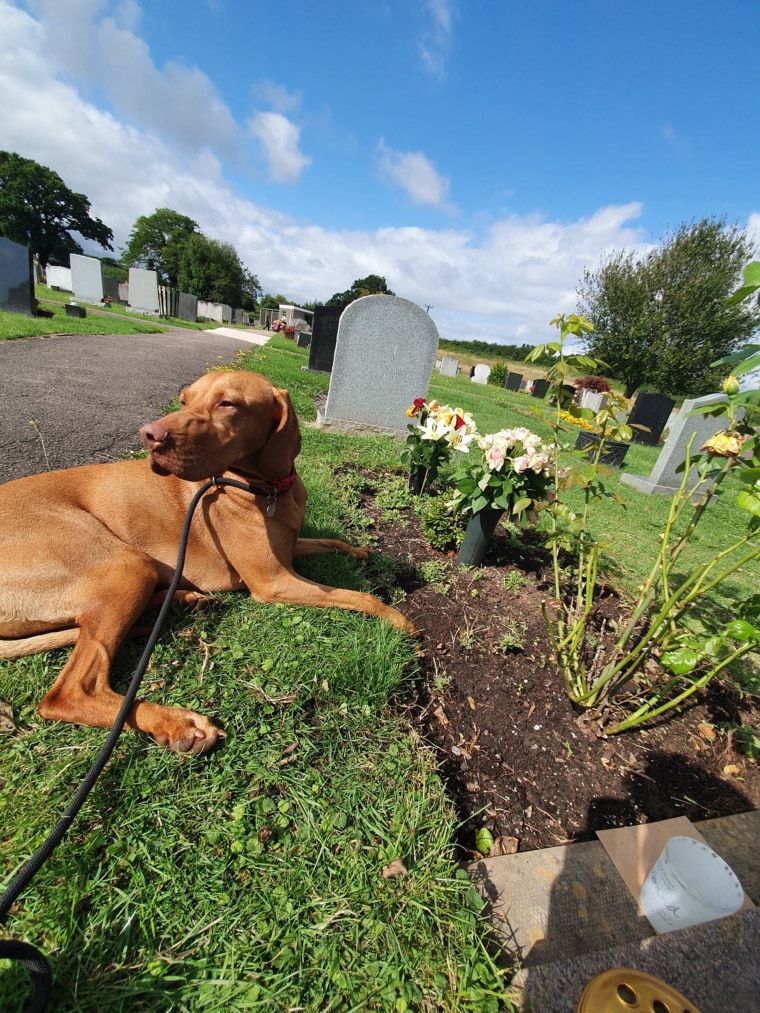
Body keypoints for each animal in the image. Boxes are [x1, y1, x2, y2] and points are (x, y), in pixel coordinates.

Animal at [0, 370, 413, 753]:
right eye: (184, 400)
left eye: (227, 404)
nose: (149, 436)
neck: (271, 488)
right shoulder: (273, 581)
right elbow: (361, 596)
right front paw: (400, 620)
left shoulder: (289, 549)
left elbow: (332, 541)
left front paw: (360, 552)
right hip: (124, 565)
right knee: (68, 693)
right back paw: (177, 721)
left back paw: (185, 601)